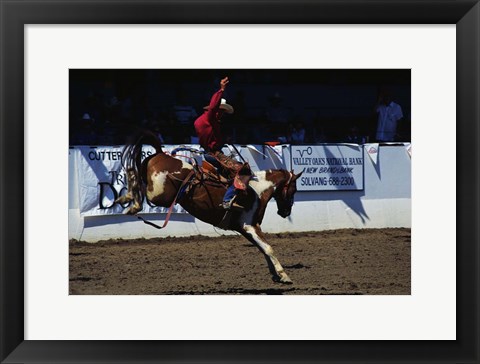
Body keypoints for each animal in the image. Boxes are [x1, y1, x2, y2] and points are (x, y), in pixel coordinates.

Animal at [116, 131, 302, 284]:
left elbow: (262, 249)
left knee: (132, 171)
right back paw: (131, 203)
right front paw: (284, 275)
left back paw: (125, 198)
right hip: (159, 195)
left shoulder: (244, 229)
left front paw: (275, 275)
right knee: (140, 188)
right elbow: (268, 248)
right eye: (294, 189)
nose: (286, 212)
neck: (257, 189)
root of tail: (161, 154)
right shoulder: (250, 226)